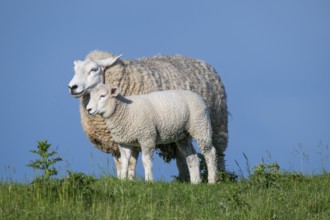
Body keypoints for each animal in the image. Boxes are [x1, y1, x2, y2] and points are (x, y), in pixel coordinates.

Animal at [86, 84, 218, 184]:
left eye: (103, 96)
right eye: (91, 96)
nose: (88, 109)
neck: (125, 111)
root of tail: (199, 97)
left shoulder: (147, 137)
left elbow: (146, 161)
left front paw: (149, 181)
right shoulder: (124, 142)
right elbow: (124, 162)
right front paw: (123, 180)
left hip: (201, 126)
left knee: (210, 152)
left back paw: (211, 181)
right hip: (183, 136)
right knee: (192, 157)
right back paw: (195, 182)